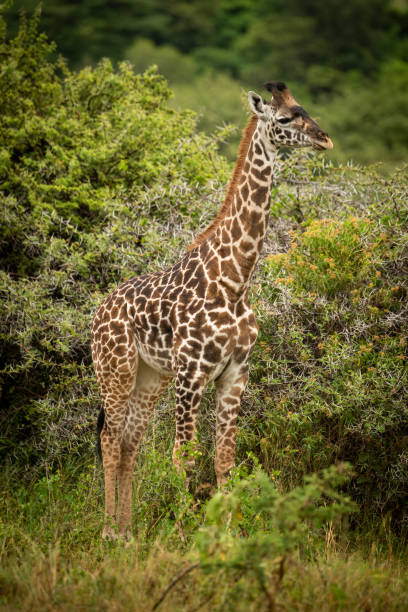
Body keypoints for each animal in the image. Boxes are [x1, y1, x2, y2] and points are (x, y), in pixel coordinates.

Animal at [91, 81, 334, 540]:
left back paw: (129, 533)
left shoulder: (236, 374)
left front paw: (226, 532)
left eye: (305, 109)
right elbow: (184, 456)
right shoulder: (192, 375)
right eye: (284, 118)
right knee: (110, 440)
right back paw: (109, 532)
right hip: (115, 369)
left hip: (151, 377)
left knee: (131, 443)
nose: (324, 139)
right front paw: (185, 532)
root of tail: (98, 312)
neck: (234, 282)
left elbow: (225, 458)